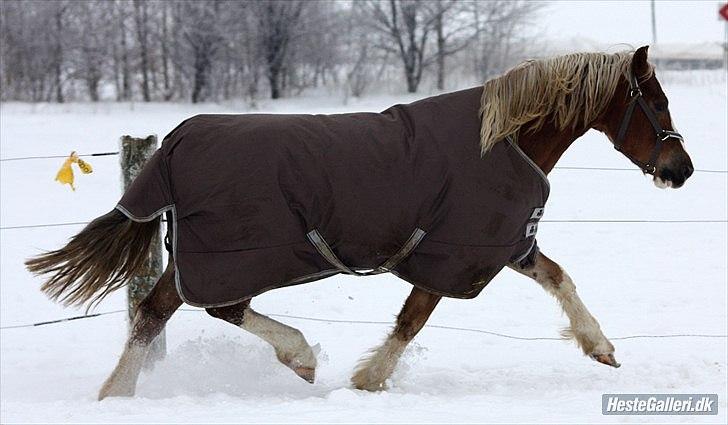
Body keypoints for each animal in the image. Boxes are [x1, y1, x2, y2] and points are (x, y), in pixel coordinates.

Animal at [25, 46, 692, 398]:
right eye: (656, 102)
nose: (680, 169)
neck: (500, 140)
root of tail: (176, 142)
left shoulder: (502, 244)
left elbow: (559, 277)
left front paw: (600, 348)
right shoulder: (451, 252)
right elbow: (411, 322)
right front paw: (367, 382)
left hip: (211, 254)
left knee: (158, 312)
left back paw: (120, 394)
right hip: (229, 254)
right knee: (207, 307)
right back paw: (295, 357)